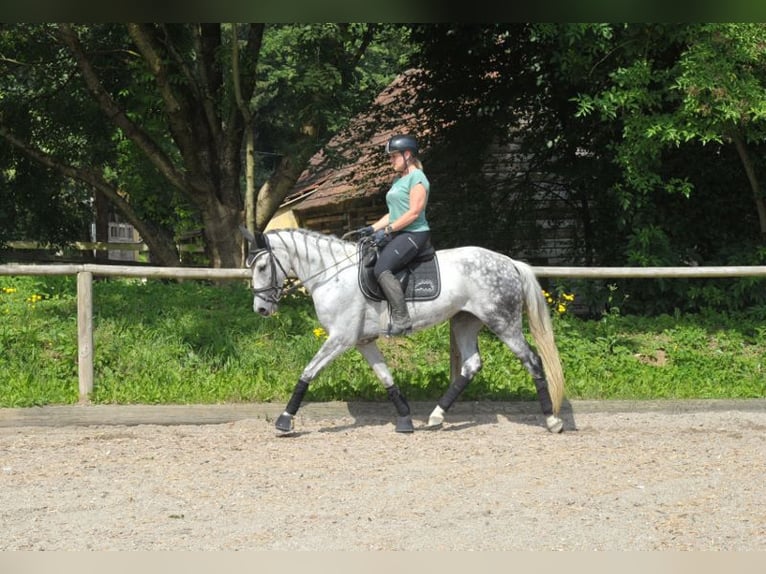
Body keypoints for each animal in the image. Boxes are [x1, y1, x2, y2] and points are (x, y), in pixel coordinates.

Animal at [243, 227, 568, 434]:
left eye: (261, 267)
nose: (261, 310)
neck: (332, 274)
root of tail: (508, 262)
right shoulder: (362, 340)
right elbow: (386, 377)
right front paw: (405, 418)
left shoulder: (341, 338)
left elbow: (308, 372)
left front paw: (285, 420)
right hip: (464, 321)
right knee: (471, 365)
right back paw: (436, 416)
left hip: (503, 322)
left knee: (532, 361)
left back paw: (552, 421)